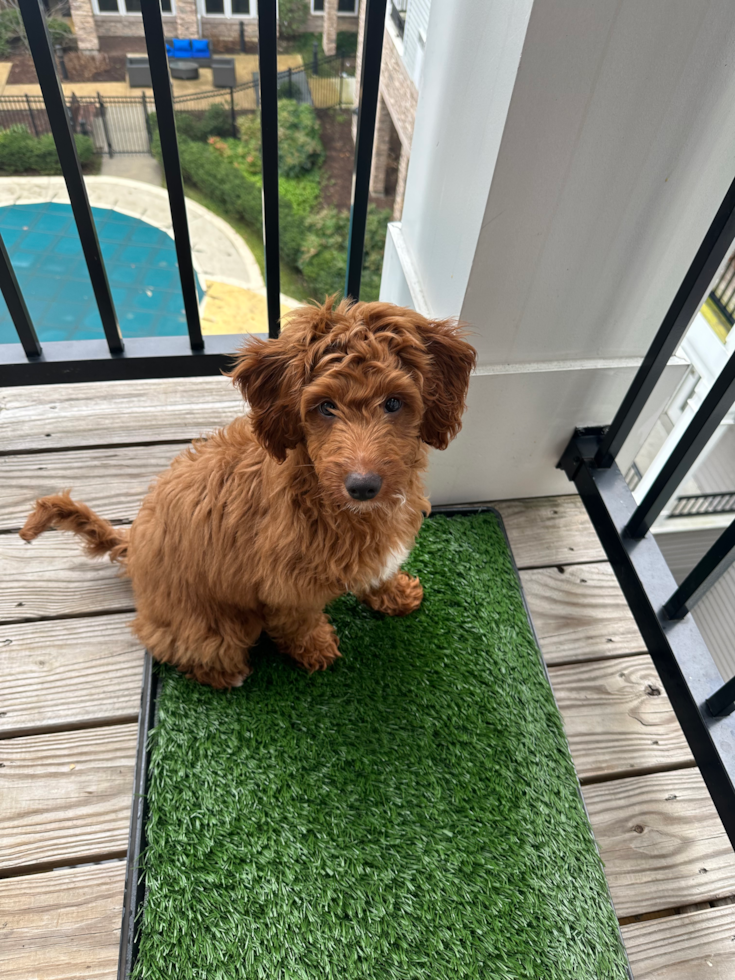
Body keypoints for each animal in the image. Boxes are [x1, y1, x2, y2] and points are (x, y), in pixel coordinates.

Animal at [18, 298, 478, 688]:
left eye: (394, 403)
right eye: (326, 407)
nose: (362, 487)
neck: (316, 488)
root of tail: (134, 545)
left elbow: (378, 573)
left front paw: (395, 595)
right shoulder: (287, 586)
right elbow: (298, 622)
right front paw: (316, 650)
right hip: (216, 627)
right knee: (179, 645)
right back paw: (226, 675)